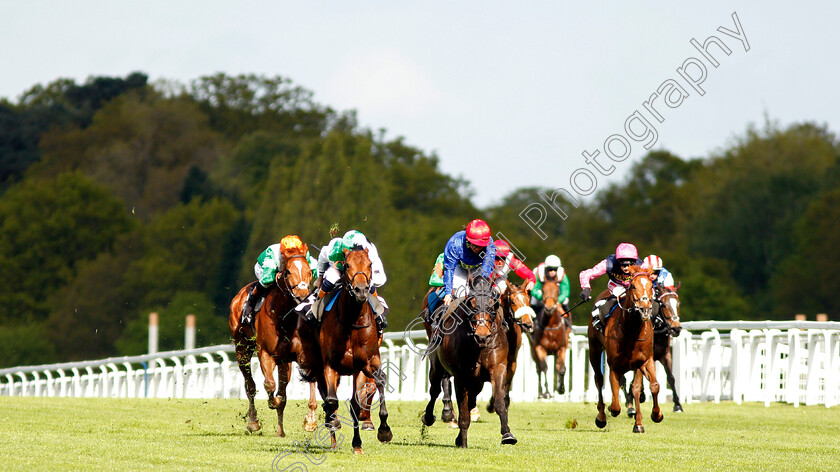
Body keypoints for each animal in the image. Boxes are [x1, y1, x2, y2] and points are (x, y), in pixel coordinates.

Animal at [226, 242, 318, 436]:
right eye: (288, 271)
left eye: (309, 271)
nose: (303, 296)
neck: (284, 317)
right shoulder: (265, 354)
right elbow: (269, 385)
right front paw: (272, 402)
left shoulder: (301, 354)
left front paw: (310, 421)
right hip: (242, 349)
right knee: (250, 386)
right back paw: (253, 422)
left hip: (284, 361)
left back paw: (280, 431)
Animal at [296, 245, 392, 456]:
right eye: (347, 265)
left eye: (370, 264)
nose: (361, 290)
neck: (352, 323)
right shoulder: (330, 365)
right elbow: (332, 400)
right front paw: (333, 423)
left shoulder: (366, 364)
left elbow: (370, 391)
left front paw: (379, 433)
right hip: (316, 361)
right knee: (326, 395)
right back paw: (332, 434)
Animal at [418, 272, 512, 446]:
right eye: (471, 303)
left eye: (492, 304)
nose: (482, 335)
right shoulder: (461, 375)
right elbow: (462, 409)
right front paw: (462, 441)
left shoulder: (498, 367)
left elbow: (499, 400)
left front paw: (507, 434)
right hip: (436, 365)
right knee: (435, 390)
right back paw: (429, 417)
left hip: (477, 381)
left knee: (471, 400)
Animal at [486, 284, 532, 412]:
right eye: (512, 301)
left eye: (528, 300)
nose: (528, 324)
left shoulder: (511, 362)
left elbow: (504, 385)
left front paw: (494, 403)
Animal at [588, 266, 668, 432]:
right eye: (633, 286)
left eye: (651, 286)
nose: (645, 309)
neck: (631, 330)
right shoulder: (614, 365)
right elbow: (615, 402)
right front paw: (611, 410)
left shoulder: (643, 360)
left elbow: (650, 386)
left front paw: (651, 417)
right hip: (594, 348)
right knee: (599, 379)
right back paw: (601, 417)